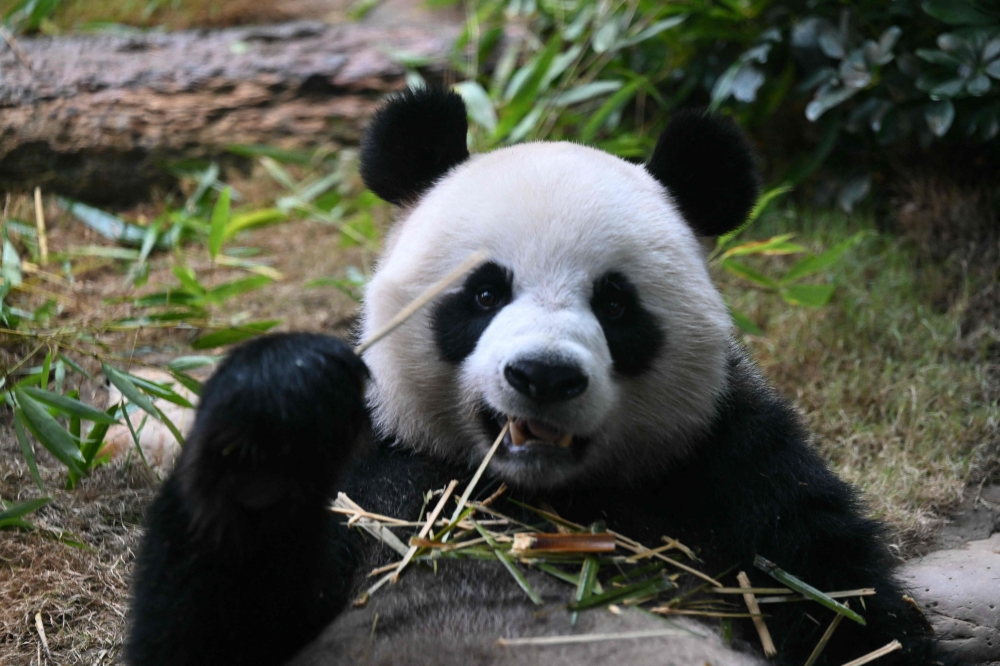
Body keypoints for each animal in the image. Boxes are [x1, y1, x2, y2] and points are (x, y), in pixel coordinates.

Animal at [125, 87, 938, 666]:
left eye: (615, 303)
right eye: (485, 292)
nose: (544, 375)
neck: (540, 503)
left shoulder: (736, 469)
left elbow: (847, 609)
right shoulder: (377, 479)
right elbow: (210, 631)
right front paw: (281, 402)